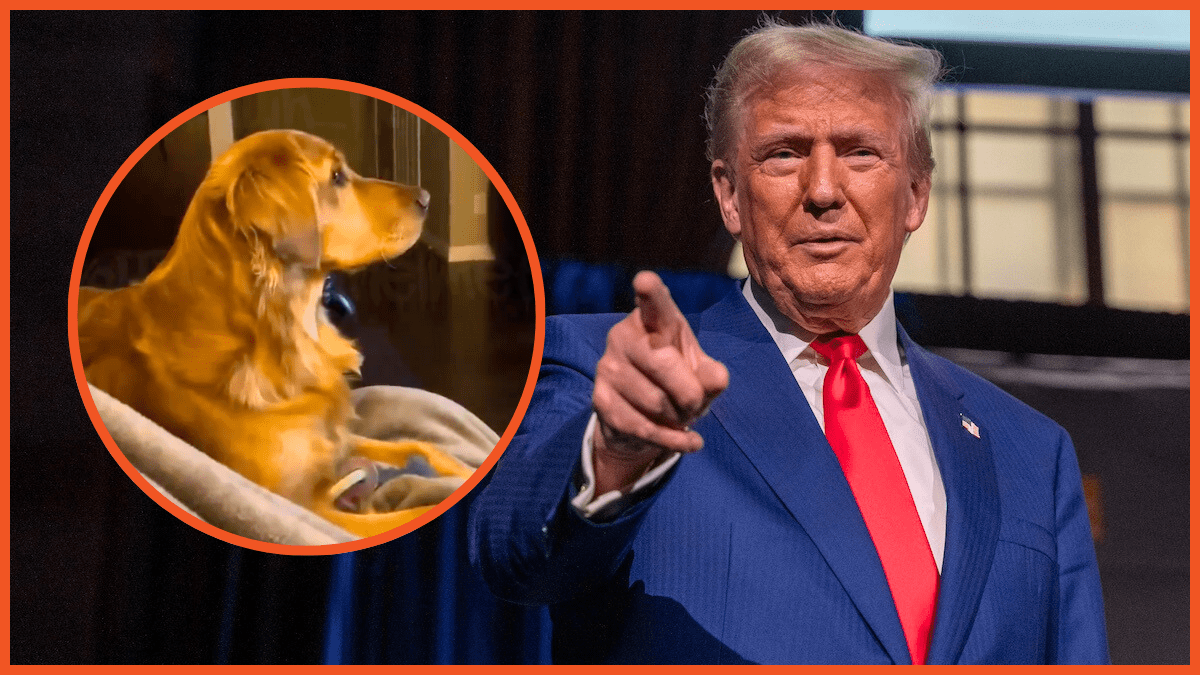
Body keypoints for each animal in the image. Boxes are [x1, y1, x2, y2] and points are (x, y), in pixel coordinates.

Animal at [76, 127, 472, 535]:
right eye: (336, 177)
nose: (426, 198)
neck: (284, 329)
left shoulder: (338, 439)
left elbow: (420, 445)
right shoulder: (305, 504)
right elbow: (411, 510)